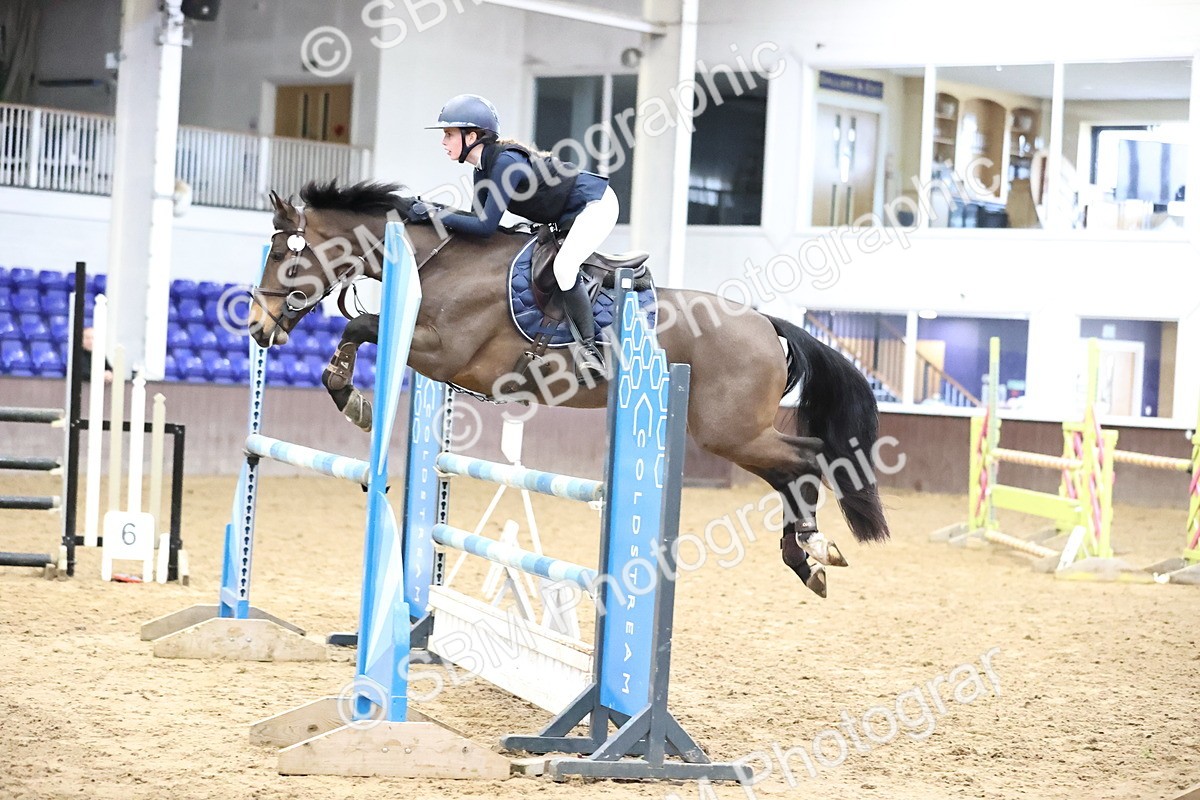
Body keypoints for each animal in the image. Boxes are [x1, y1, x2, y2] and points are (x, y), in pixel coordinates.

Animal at [249, 180, 890, 597]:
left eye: (282, 253)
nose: (256, 327)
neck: (439, 260)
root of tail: (765, 322)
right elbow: (359, 331)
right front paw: (350, 395)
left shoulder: (445, 352)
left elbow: (360, 326)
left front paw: (352, 400)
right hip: (732, 432)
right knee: (791, 469)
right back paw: (806, 558)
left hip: (729, 431)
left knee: (805, 458)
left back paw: (813, 550)